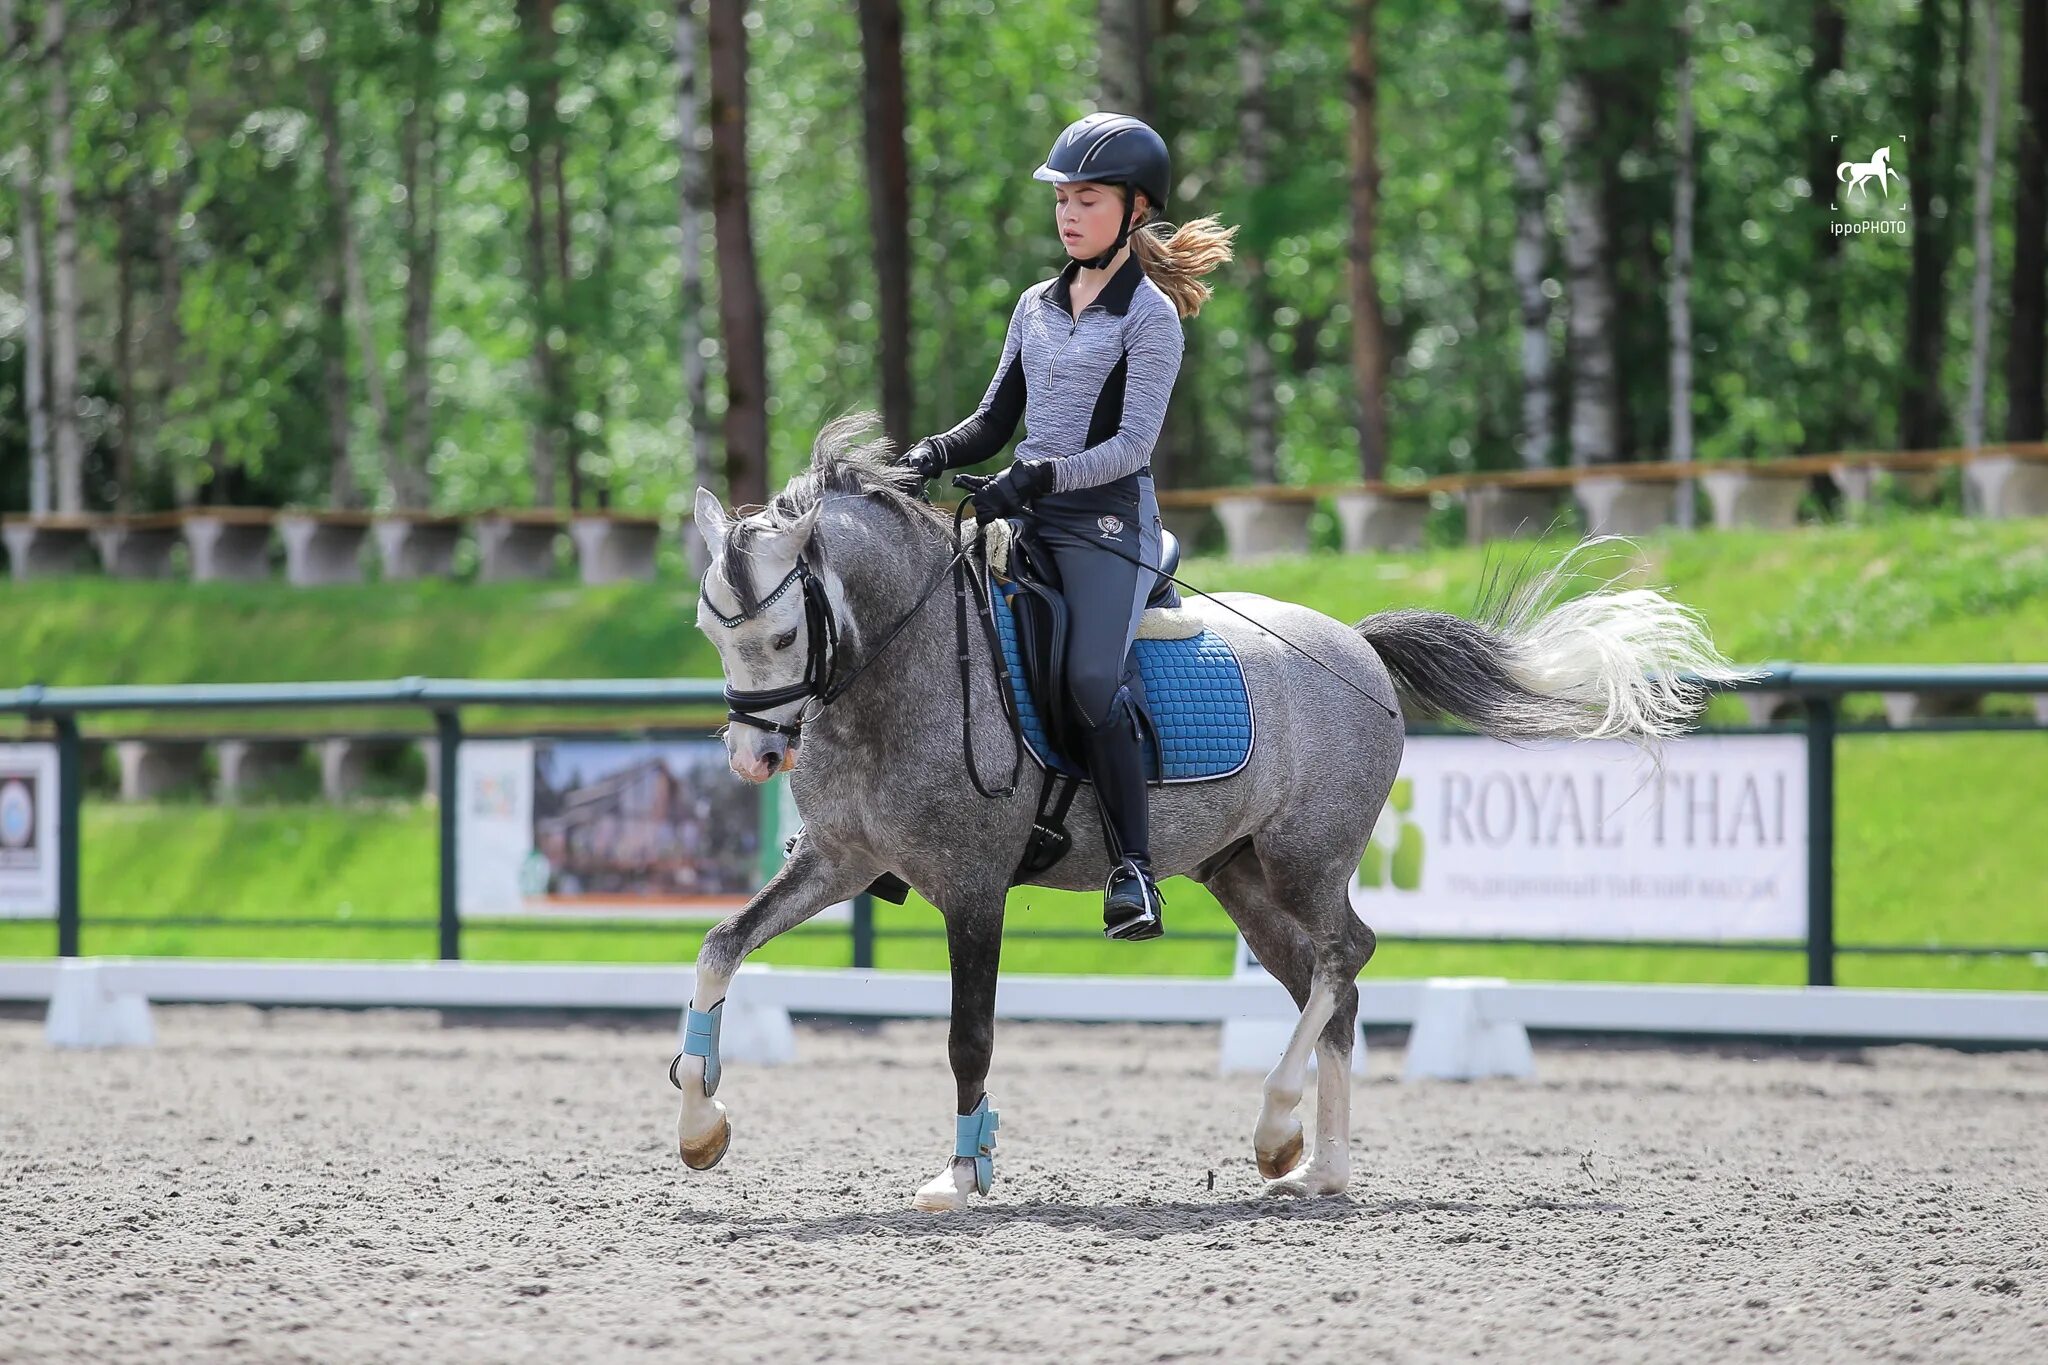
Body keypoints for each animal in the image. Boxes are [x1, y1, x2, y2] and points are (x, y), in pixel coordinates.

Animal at [675, 419, 1744, 1219]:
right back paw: (1318, 1169)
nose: (751, 758)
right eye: (708, 631)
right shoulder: (840, 860)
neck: (905, 665)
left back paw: (1277, 1129)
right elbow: (720, 946)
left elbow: (967, 1036)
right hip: (1241, 875)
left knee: (1345, 955)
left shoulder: (974, 889)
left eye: (782, 633)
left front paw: (963, 1173)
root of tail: (1357, 644)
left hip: (1307, 857)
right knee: (1330, 985)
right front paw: (699, 1123)